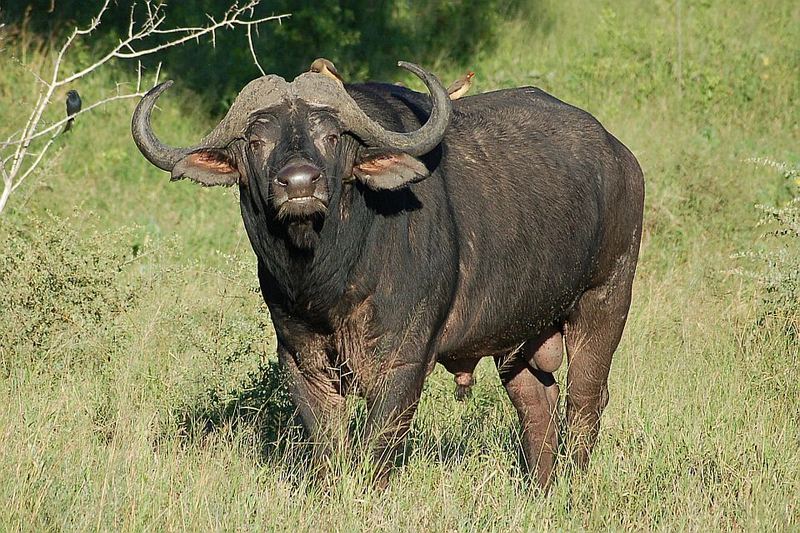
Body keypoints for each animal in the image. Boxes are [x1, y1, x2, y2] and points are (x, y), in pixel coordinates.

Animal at [131, 61, 644, 486]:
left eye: (332, 137)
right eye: (256, 142)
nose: (299, 183)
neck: (330, 277)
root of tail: (622, 158)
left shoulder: (402, 361)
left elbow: (378, 445)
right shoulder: (301, 359)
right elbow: (328, 445)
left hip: (604, 304)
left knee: (584, 402)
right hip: (518, 337)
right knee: (538, 406)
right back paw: (539, 490)